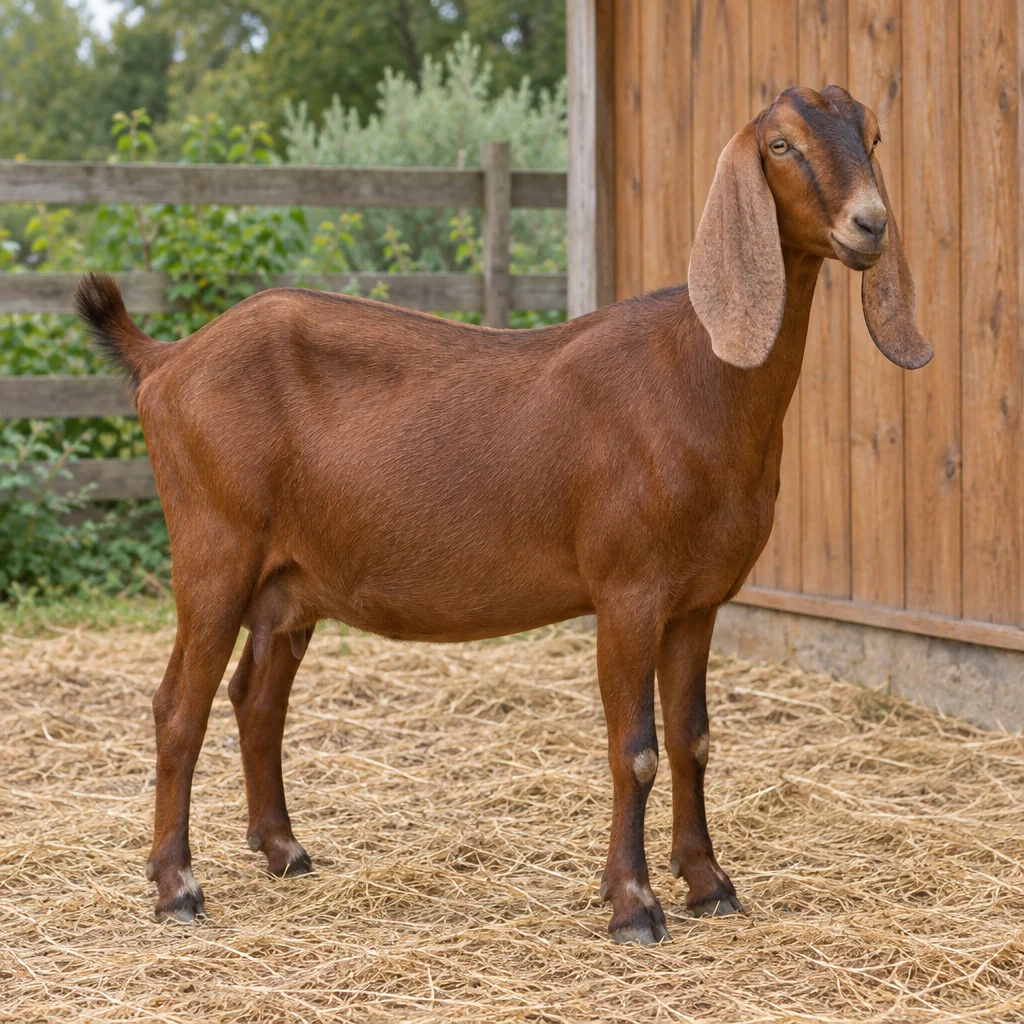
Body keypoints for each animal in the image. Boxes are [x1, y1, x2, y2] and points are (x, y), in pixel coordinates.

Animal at [74, 85, 931, 943]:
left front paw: (710, 883)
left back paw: (284, 850)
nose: (870, 223)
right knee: (177, 708)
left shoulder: (699, 600)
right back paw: (177, 887)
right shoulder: (628, 591)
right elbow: (635, 750)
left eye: (874, 134)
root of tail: (165, 362)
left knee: (256, 699)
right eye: (782, 145)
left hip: (291, 582)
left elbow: (694, 742)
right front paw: (633, 904)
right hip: (213, 551)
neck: (696, 377)